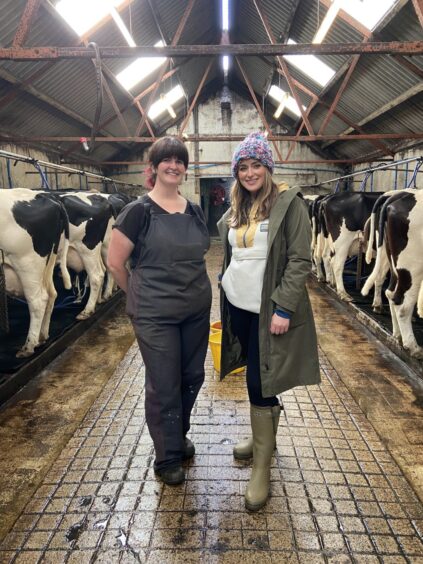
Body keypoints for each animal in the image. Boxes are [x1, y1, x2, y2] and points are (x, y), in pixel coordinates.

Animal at [0, 189, 71, 356]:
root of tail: (45, 196)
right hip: (48, 263)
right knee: (51, 293)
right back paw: (42, 336)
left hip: (27, 263)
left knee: (38, 300)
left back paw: (28, 346)